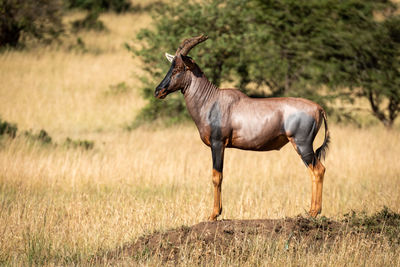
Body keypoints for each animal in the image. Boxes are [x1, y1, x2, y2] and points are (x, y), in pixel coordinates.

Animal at [155, 34, 330, 221]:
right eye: (171, 66)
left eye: (177, 69)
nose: (158, 91)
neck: (212, 99)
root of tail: (319, 108)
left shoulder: (218, 144)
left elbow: (216, 176)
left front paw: (213, 215)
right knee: (315, 170)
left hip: (302, 144)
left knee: (318, 170)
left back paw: (313, 212)